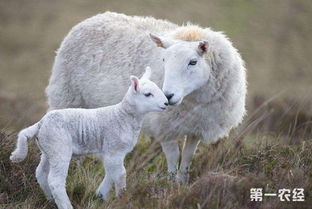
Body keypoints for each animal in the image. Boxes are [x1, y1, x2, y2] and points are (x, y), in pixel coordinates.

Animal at [9, 67, 167, 209]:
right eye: (147, 94)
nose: (166, 103)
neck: (123, 116)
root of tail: (40, 124)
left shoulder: (112, 153)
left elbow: (111, 173)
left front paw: (100, 196)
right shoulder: (114, 149)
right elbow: (120, 174)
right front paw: (123, 198)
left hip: (48, 149)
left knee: (41, 173)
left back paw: (50, 200)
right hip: (59, 148)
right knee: (55, 181)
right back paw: (65, 205)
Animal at [45, 12, 246, 184]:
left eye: (193, 62)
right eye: (164, 60)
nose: (167, 96)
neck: (194, 99)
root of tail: (93, 18)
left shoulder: (196, 127)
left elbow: (187, 158)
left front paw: (182, 183)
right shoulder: (165, 127)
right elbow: (173, 157)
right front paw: (171, 185)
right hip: (66, 97)